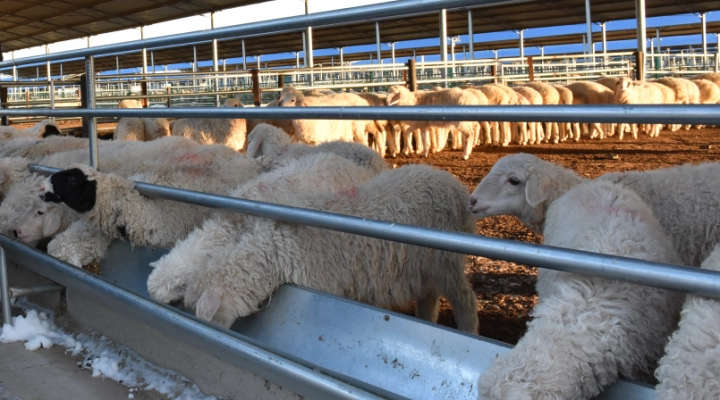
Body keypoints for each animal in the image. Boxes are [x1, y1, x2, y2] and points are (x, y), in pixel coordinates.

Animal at [148, 164, 480, 332]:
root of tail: (454, 183)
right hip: (423, 263)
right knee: (429, 295)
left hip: (446, 258)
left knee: (465, 299)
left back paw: (467, 329)